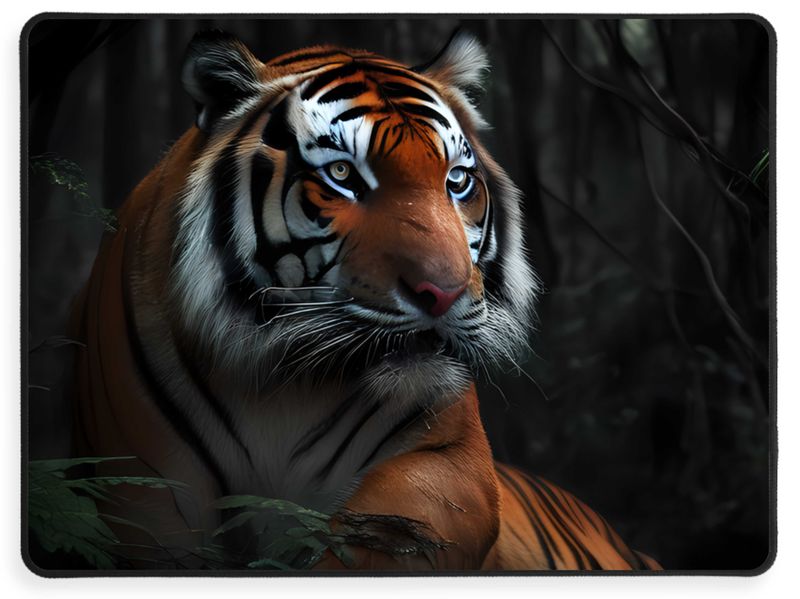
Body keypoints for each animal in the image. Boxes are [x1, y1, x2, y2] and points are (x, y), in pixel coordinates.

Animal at [69, 29, 661, 571]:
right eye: (342, 174)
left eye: (457, 180)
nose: (443, 293)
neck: (277, 390)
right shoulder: (144, 486)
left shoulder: (453, 467)